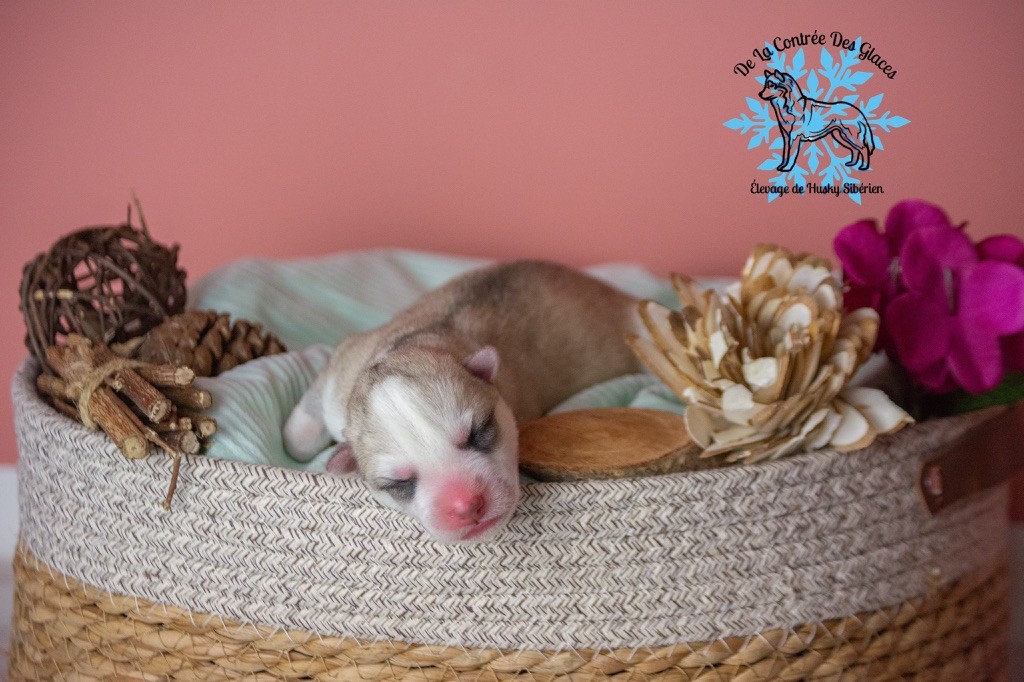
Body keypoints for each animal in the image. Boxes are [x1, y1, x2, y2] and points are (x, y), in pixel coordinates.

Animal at [283, 260, 643, 543]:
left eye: (479, 431)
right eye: (401, 482)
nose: (468, 507)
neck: (409, 346)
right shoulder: (344, 367)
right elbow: (297, 440)